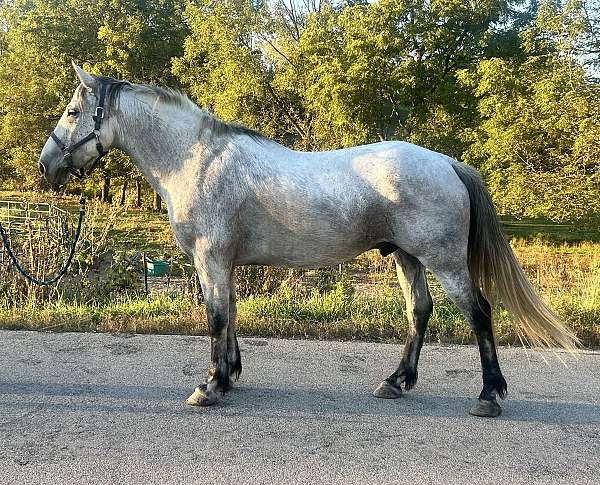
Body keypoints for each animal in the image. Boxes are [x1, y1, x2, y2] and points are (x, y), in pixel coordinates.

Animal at [36, 63, 576, 416]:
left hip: (443, 261)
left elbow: (216, 318)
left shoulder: (210, 259)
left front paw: (210, 387)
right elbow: (231, 316)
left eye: (71, 111)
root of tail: (445, 161)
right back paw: (396, 382)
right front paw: (229, 376)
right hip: (407, 257)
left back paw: (488, 395)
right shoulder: (224, 262)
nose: (46, 165)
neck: (196, 160)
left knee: (479, 313)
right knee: (418, 311)